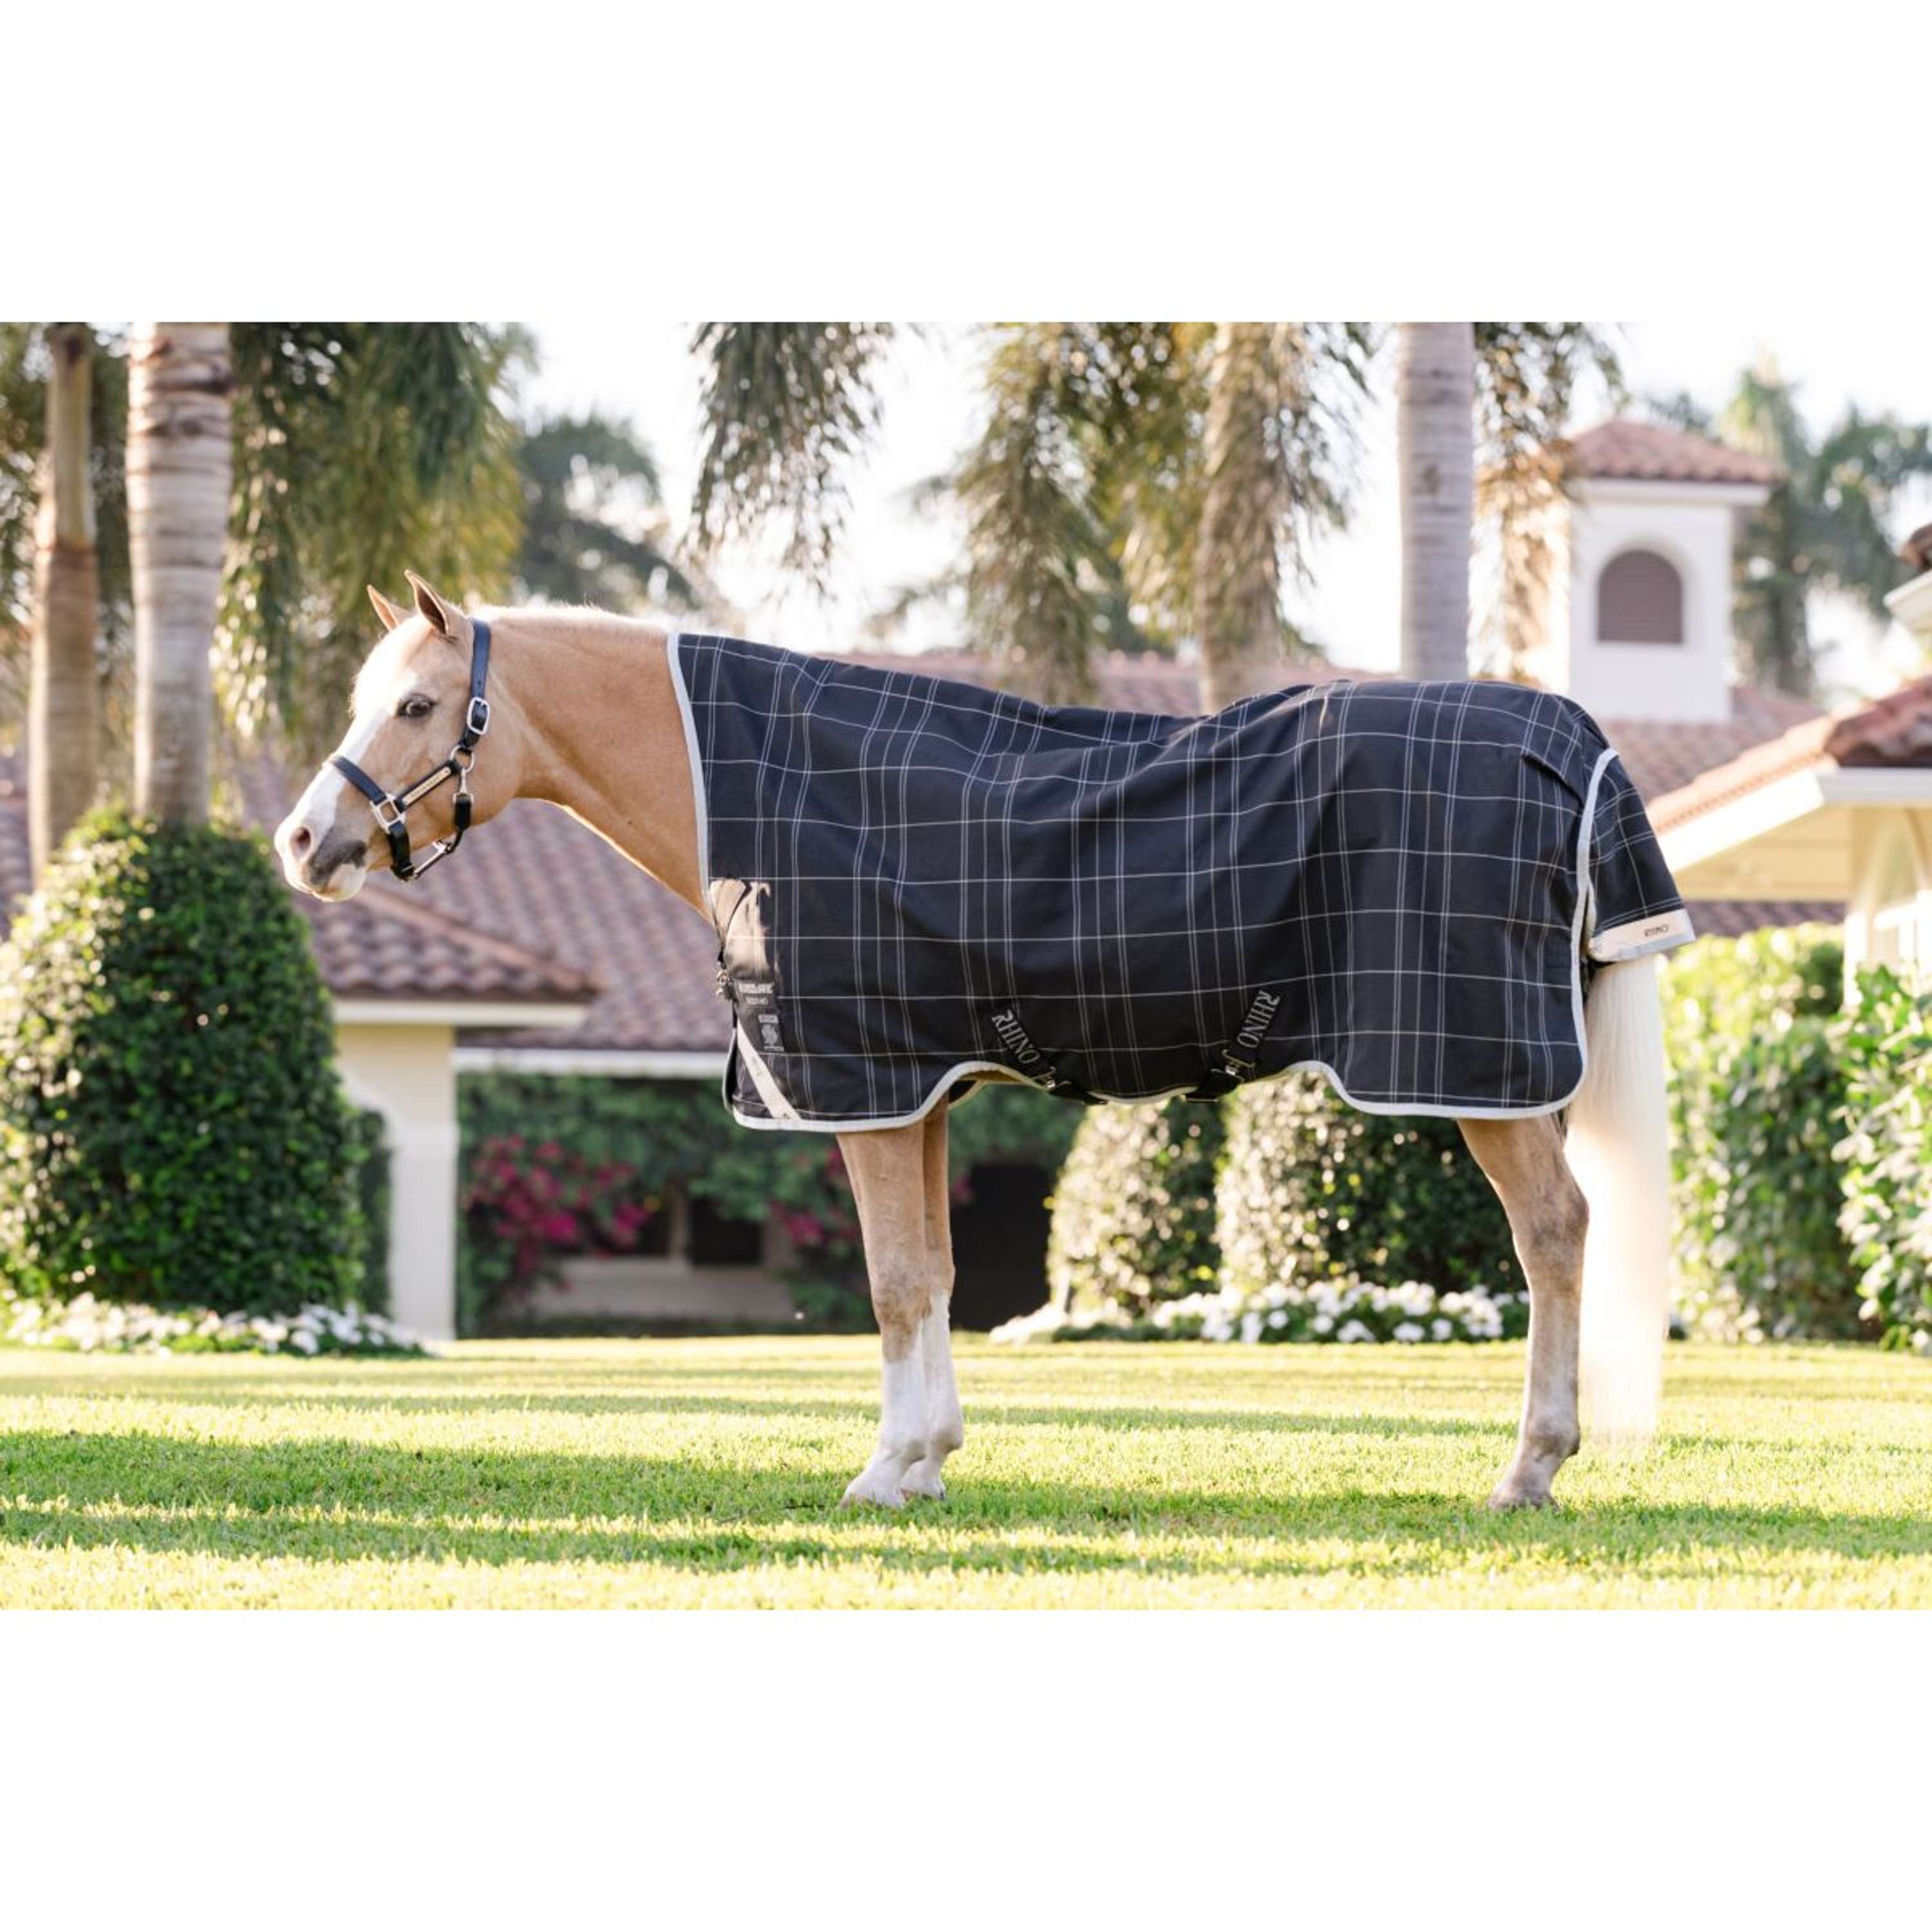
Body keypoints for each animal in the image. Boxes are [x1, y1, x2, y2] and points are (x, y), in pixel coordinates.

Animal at [277, 572, 1678, 1511]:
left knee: (1554, 1233)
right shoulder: (924, 1092)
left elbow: (896, 1283)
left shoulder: (860, 1087)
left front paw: (887, 1471)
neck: (763, 788)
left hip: (1483, 1072)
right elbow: (937, 1275)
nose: (302, 843)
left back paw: (1529, 1469)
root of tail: (1570, 743)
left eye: (416, 704)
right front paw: (929, 1460)